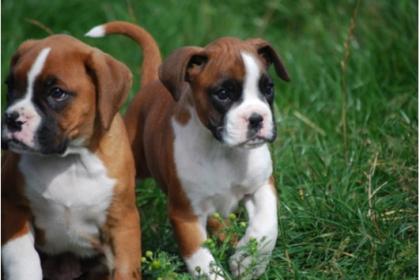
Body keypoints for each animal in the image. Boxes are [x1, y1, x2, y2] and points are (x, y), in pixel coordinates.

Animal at [0, 33, 143, 280]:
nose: (11, 119)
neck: (70, 161)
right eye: (11, 86)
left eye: (57, 93)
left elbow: (124, 269)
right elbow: (24, 262)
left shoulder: (122, 224)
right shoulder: (13, 209)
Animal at [86, 21, 288, 278]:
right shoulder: (185, 215)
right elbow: (202, 261)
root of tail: (151, 83)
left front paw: (248, 260)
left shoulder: (261, 186)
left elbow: (267, 225)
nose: (256, 118)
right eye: (223, 94)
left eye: (268, 88)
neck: (222, 150)